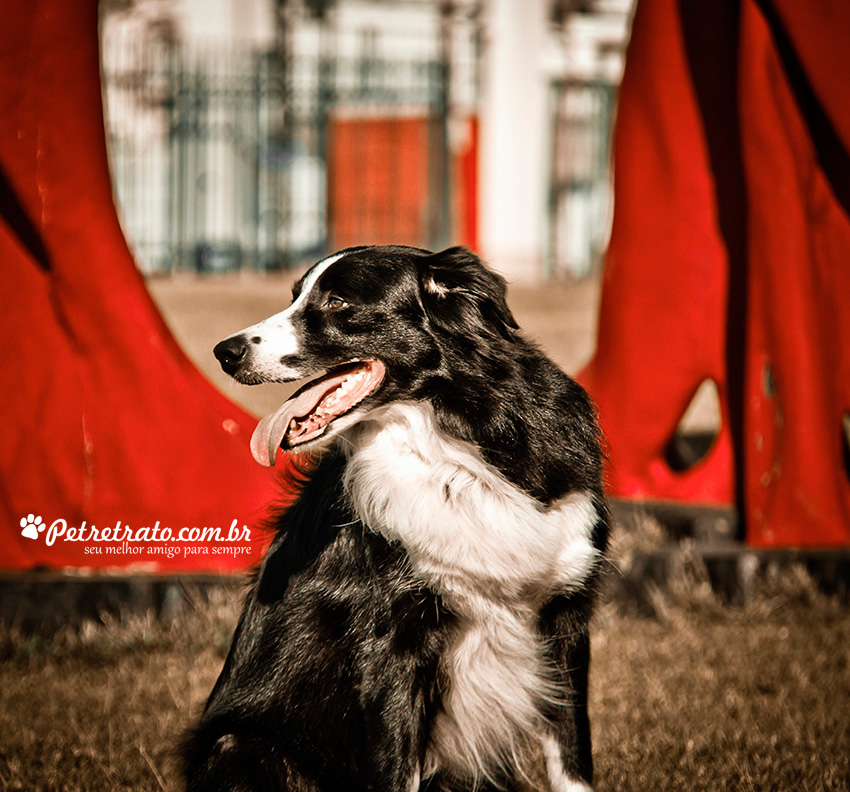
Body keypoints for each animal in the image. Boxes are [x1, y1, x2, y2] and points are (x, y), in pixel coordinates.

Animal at [188, 244, 608, 788]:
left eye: (338, 301)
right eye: (296, 295)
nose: (225, 351)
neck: (450, 448)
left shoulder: (566, 618)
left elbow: (573, 758)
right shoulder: (391, 642)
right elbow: (396, 770)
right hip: (239, 745)